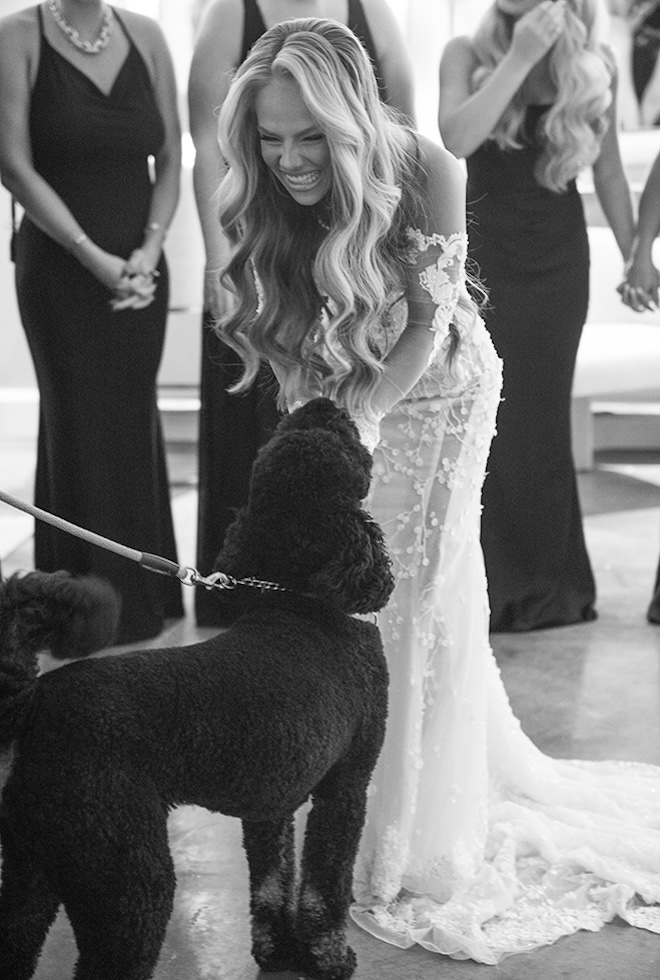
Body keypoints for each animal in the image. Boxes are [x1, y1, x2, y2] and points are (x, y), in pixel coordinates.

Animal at [0, 398, 392, 980]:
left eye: (283, 434)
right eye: (341, 441)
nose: (322, 403)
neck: (299, 599)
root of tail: (35, 703)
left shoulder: (269, 805)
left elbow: (271, 883)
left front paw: (278, 953)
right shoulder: (345, 788)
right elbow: (326, 888)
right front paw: (330, 958)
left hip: (33, 865)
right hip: (127, 879)